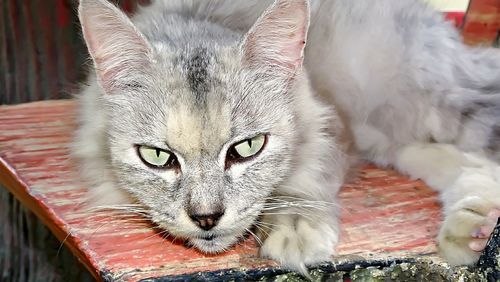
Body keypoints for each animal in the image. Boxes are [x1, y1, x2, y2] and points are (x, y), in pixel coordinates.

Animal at [73, 0, 500, 274]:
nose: (207, 218)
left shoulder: (330, 127)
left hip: (435, 103)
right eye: (157, 157)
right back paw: (474, 227)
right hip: (391, 135)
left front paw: (294, 227)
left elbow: (302, 181)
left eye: (247, 147)